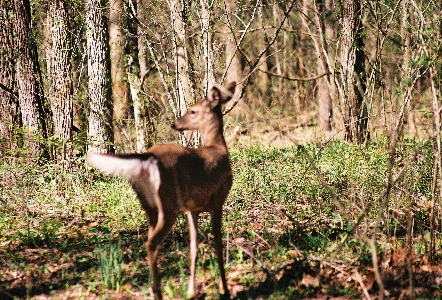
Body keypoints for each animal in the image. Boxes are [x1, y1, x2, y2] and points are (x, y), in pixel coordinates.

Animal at [87, 81, 238, 298]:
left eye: (193, 111)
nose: (175, 124)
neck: (218, 148)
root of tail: (148, 158)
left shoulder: (192, 208)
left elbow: (194, 248)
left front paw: (191, 291)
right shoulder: (218, 198)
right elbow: (218, 245)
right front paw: (224, 290)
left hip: (150, 206)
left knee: (152, 240)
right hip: (168, 204)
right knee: (151, 243)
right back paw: (158, 292)